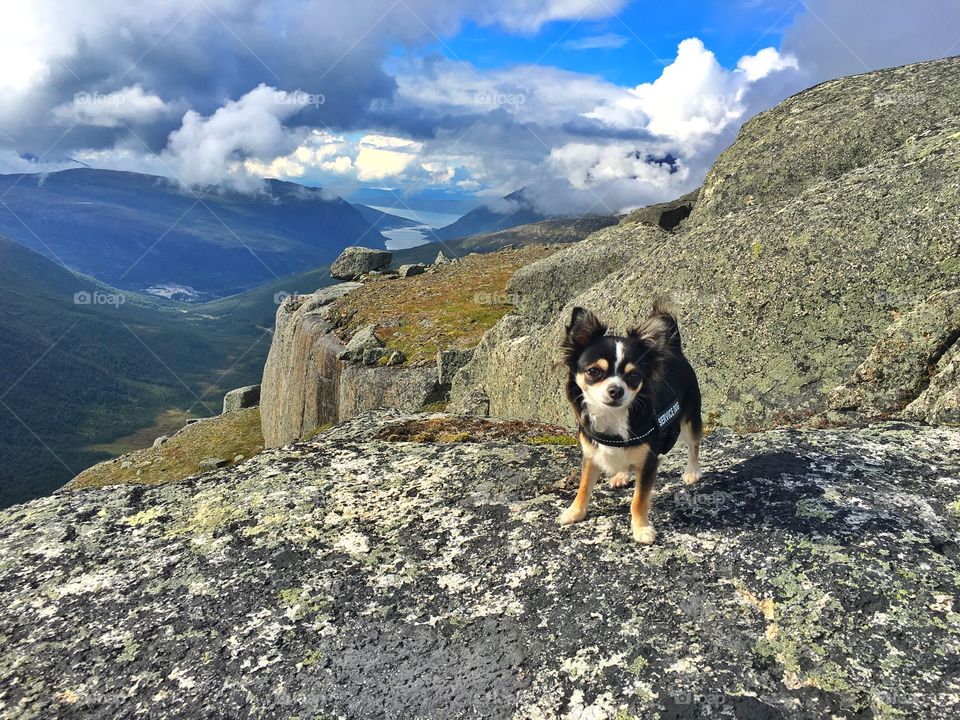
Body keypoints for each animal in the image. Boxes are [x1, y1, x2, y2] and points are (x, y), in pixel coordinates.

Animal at [556, 300, 704, 544]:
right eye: (593, 371)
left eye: (634, 377)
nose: (616, 390)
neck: (612, 418)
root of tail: (674, 349)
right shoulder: (591, 455)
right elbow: (584, 487)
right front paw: (574, 512)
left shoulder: (649, 462)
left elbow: (639, 500)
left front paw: (641, 529)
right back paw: (621, 475)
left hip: (691, 419)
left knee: (694, 446)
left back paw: (692, 472)